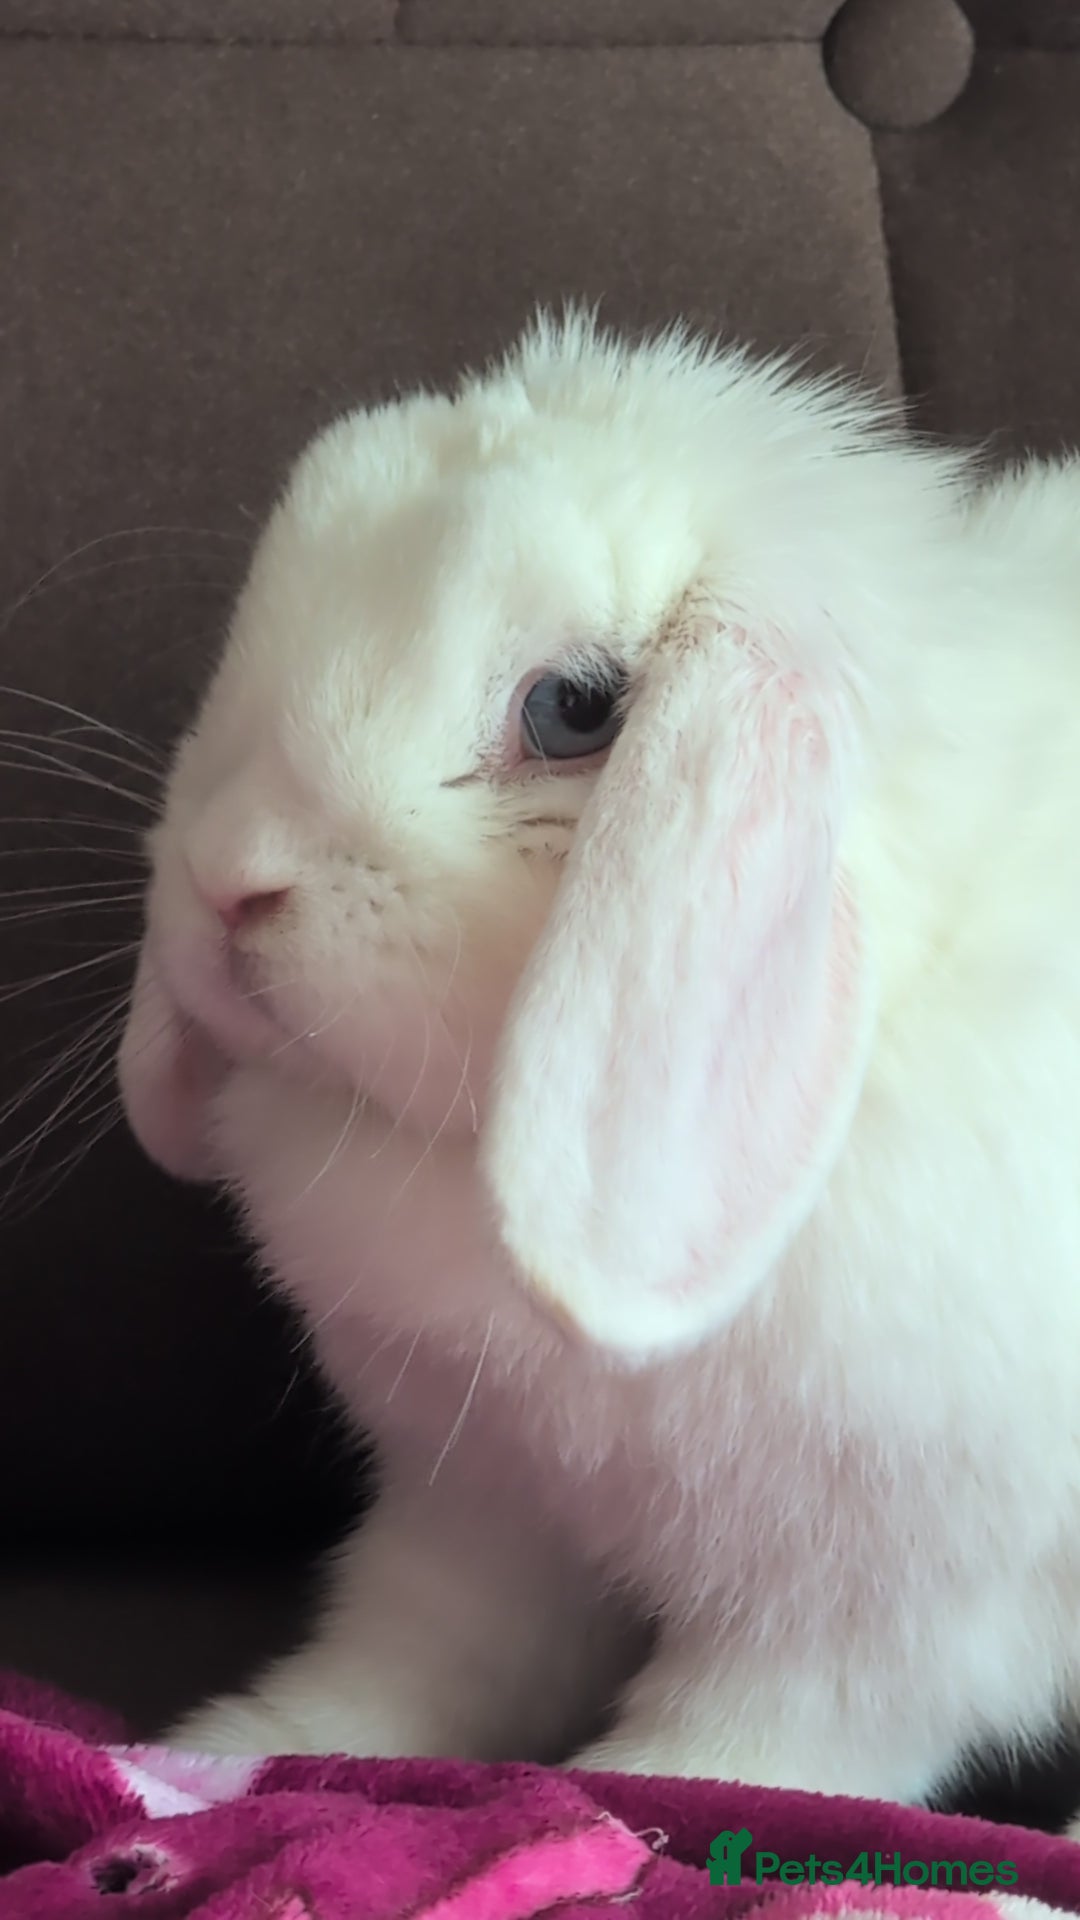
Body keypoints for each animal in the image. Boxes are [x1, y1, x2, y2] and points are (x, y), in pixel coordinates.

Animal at [117, 308, 1080, 1818]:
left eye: (573, 710)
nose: (224, 884)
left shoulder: (891, 1609)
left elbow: (768, 1743)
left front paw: (648, 1791)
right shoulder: (483, 1513)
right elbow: (416, 1660)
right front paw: (232, 1750)